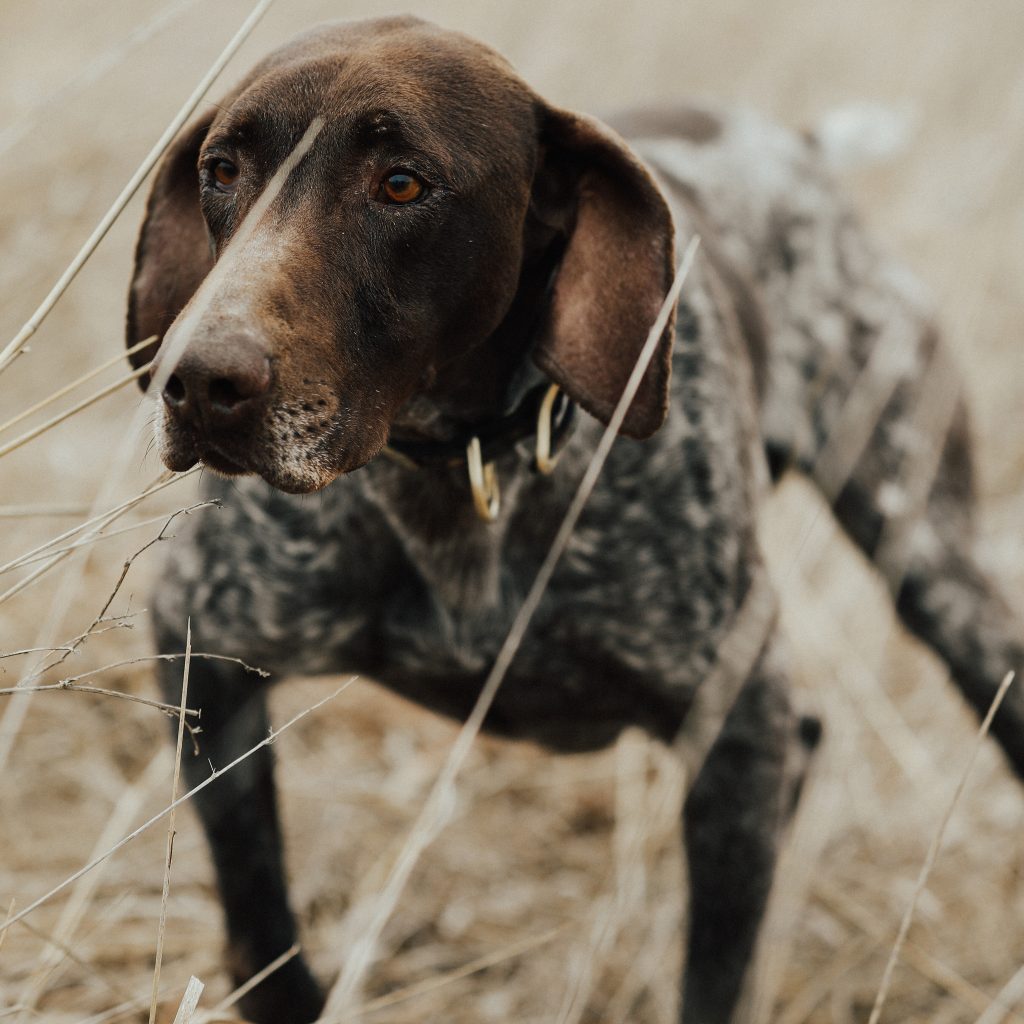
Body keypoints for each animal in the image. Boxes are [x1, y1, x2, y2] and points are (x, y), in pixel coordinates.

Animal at [125, 18, 1024, 1024]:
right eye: (222, 169)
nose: (200, 381)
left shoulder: (734, 721)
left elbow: (716, 974)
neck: (463, 467)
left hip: (937, 569)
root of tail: (795, 149)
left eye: (401, 184)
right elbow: (259, 917)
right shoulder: (203, 648)